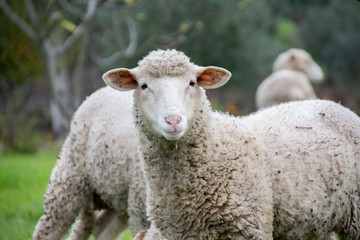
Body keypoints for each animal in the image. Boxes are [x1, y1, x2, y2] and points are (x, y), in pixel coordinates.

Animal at [102, 49, 360, 240]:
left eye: (192, 82)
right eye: (143, 85)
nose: (173, 120)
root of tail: (334, 104)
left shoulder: (250, 228)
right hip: (315, 222)